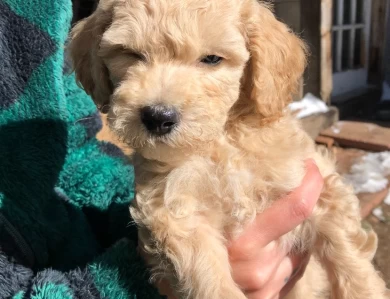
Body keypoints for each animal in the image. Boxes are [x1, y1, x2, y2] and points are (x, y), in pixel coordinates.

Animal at [68, 1, 388, 298]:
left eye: (212, 59)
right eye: (131, 54)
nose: (157, 117)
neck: (221, 143)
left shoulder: (316, 184)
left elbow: (346, 251)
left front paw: (365, 290)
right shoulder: (176, 212)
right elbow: (208, 275)